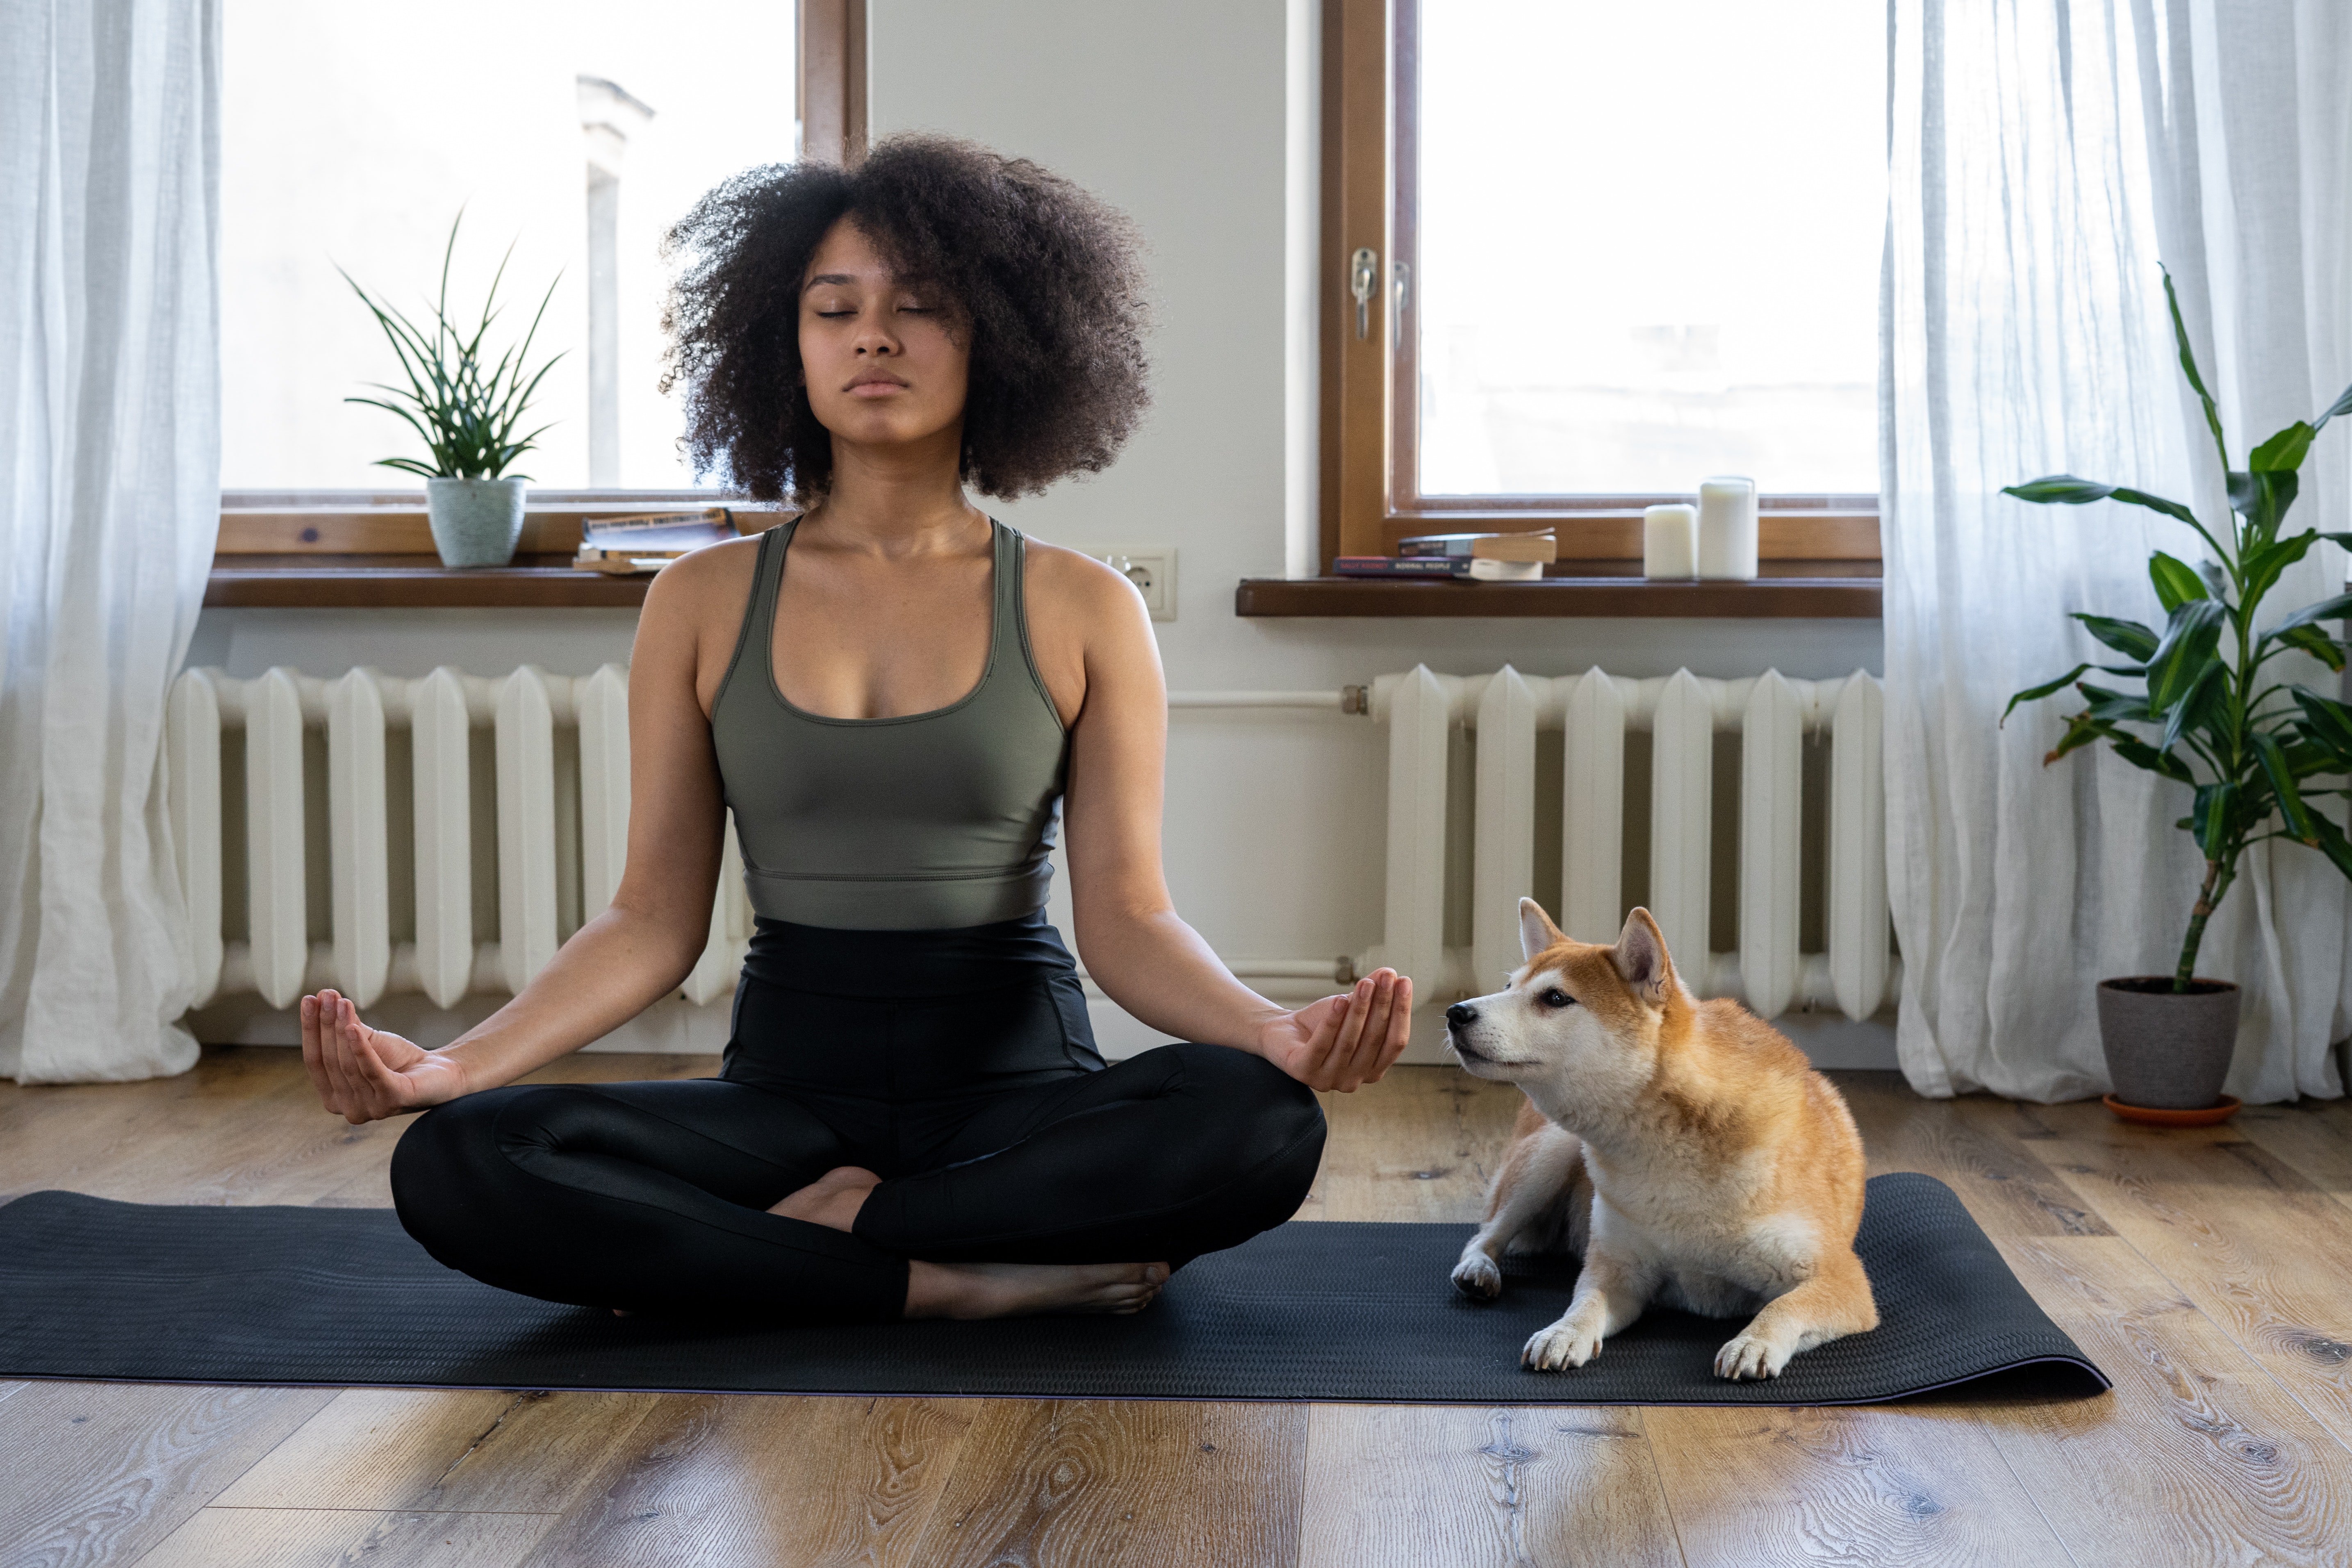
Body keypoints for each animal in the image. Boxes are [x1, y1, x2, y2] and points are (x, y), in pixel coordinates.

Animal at [1448, 903, 1872, 1382]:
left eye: (1555, 998)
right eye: (1508, 987)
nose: (1456, 1012)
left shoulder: (1841, 1279)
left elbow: (1783, 1307)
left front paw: (1753, 1342)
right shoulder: (1618, 1270)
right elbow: (1584, 1304)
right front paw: (1563, 1333)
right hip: (1548, 1156)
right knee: (1486, 1233)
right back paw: (1478, 1269)